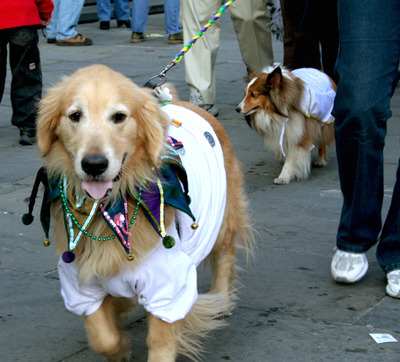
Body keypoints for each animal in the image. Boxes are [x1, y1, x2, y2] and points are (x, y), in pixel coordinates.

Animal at [36, 65, 252, 362]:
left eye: (119, 116)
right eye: (75, 116)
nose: (94, 165)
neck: (109, 209)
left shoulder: (168, 283)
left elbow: (159, 338)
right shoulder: (79, 282)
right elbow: (102, 335)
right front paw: (119, 348)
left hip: (219, 218)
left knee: (225, 254)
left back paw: (221, 299)